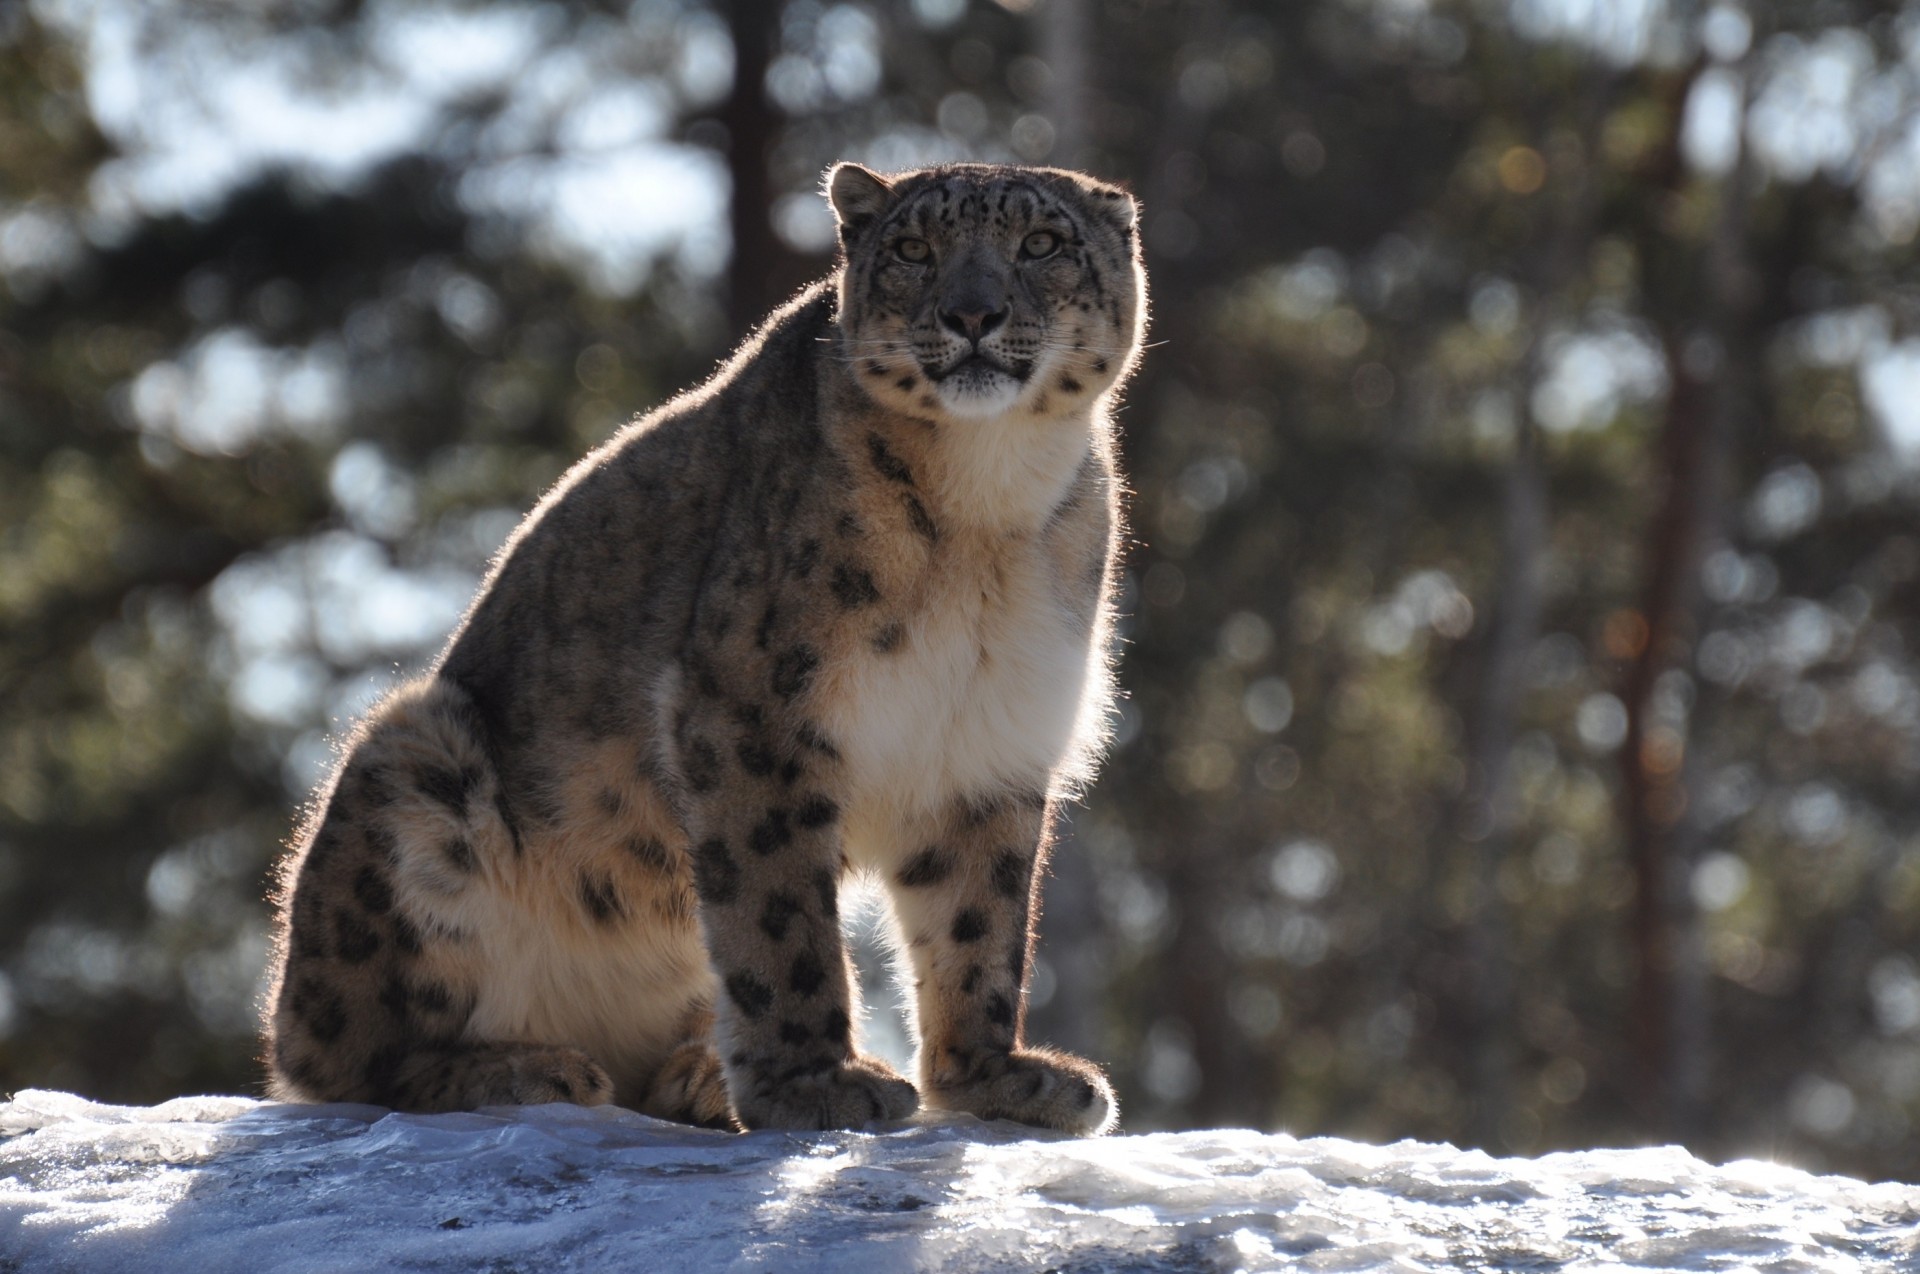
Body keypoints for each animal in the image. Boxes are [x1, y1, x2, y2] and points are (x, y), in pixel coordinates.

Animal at [261, 161, 1146, 1134]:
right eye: (916, 249)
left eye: (1042, 243)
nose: (973, 314)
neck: (988, 500)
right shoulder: (756, 710)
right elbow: (779, 912)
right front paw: (811, 1083)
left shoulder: (991, 734)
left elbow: (977, 919)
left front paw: (991, 1078)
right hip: (413, 753)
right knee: (345, 1056)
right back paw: (527, 1069)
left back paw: (694, 1079)